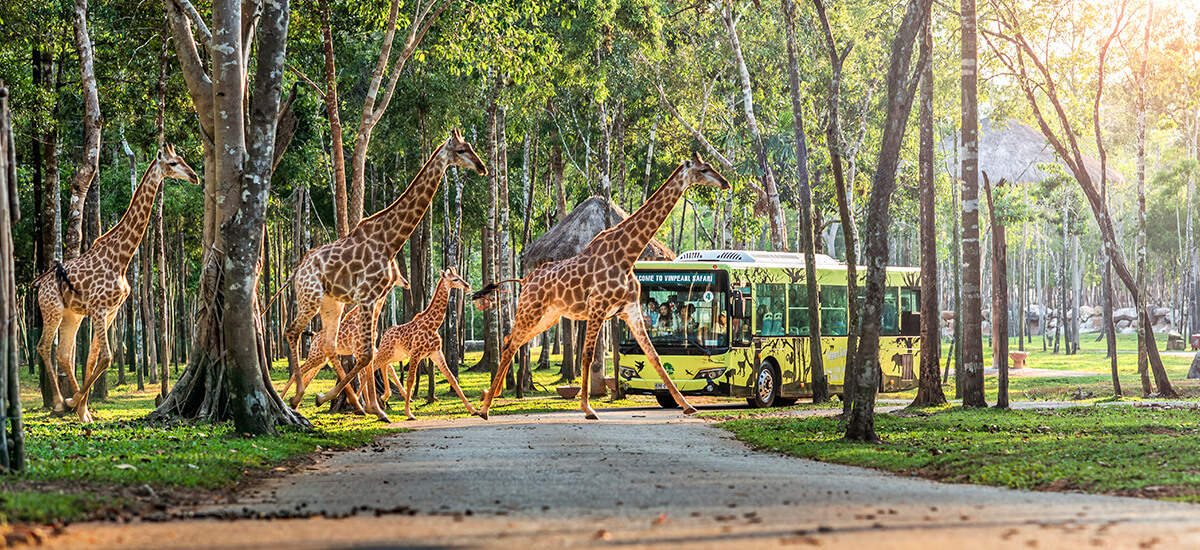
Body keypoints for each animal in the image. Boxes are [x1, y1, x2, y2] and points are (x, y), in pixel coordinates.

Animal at [33, 145, 199, 420]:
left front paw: (82, 409)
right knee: (44, 347)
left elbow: (94, 359)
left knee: (63, 353)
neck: (122, 258)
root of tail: (38, 284)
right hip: (52, 308)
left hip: (72, 314)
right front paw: (74, 403)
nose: (195, 176)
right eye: (174, 163)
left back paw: (71, 402)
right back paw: (58, 402)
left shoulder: (111, 311)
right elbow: (107, 357)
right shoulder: (99, 309)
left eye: (183, 159)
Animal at [278, 261, 410, 413]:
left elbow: (384, 368)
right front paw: (366, 405)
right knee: (297, 373)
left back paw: (296, 404)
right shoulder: (359, 349)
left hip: (321, 359)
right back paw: (284, 399)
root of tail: (315, 336)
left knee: (307, 377)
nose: (406, 283)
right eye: (397, 273)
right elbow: (365, 373)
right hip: (315, 357)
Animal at [316, 268, 480, 417]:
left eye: (459, 277)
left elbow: (453, 379)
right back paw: (360, 402)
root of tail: (385, 333)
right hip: (387, 352)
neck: (433, 325)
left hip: (397, 355)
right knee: (372, 367)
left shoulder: (436, 353)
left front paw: (474, 410)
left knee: (383, 366)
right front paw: (408, 413)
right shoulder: (416, 353)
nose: (467, 286)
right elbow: (410, 380)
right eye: (455, 279)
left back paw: (379, 398)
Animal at [472, 152, 724, 417]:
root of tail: (524, 279)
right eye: (704, 169)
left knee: (510, 341)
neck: (627, 255)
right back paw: (485, 407)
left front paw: (687, 405)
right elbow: (588, 355)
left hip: (547, 317)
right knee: (511, 343)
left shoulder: (630, 309)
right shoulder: (598, 307)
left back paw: (491, 395)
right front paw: (587, 407)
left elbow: (653, 355)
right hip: (530, 310)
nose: (725, 183)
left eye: (710, 166)